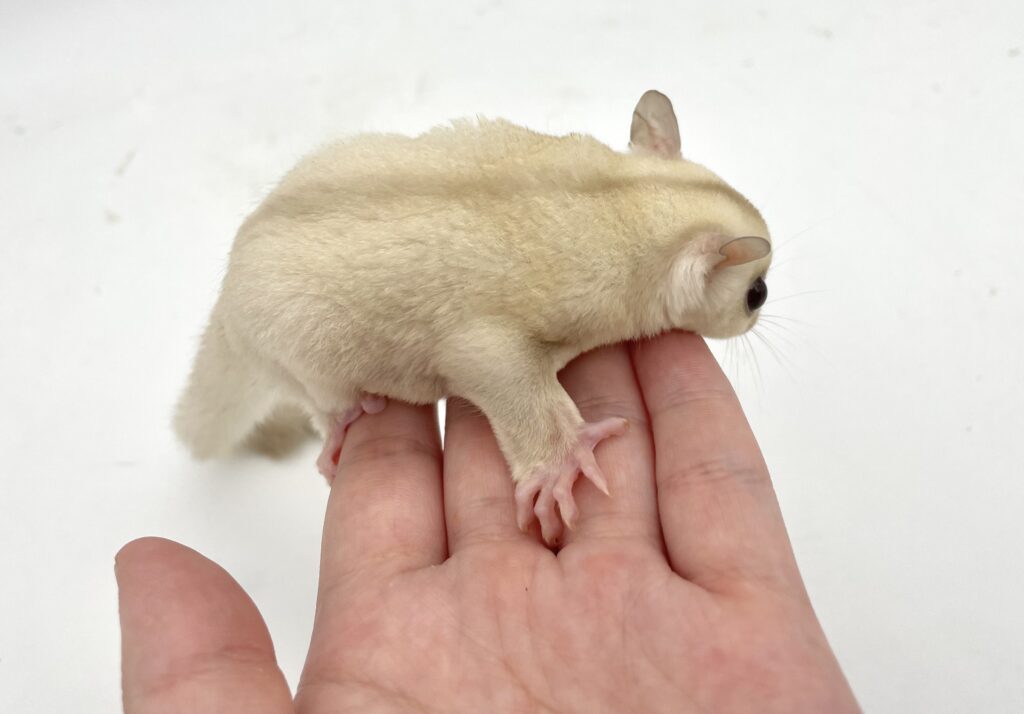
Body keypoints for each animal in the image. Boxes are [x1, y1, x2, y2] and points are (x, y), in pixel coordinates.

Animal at [174, 90, 772, 544]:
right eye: (756, 294)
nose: (754, 321)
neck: (631, 202)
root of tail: (227, 305)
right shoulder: (568, 305)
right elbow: (485, 362)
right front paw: (563, 462)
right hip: (293, 357)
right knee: (324, 402)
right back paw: (340, 430)